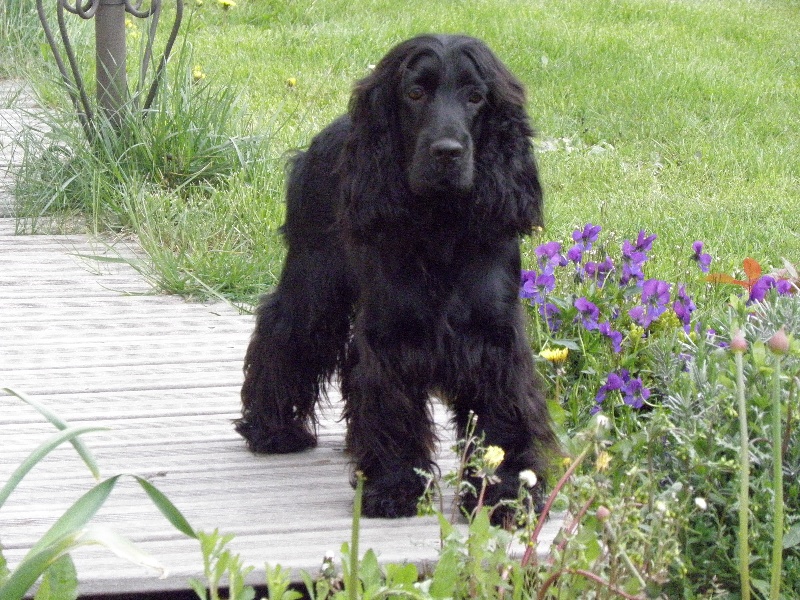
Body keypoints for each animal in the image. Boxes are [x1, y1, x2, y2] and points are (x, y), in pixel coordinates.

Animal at [239, 34, 556, 520]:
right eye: (415, 92)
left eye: (476, 97)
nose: (447, 152)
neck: (441, 225)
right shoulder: (392, 330)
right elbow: (390, 405)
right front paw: (393, 485)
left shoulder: (493, 336)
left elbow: (502, 418)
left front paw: (502, 495)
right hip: (315, 280)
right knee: (285, 332)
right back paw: (272, 428)